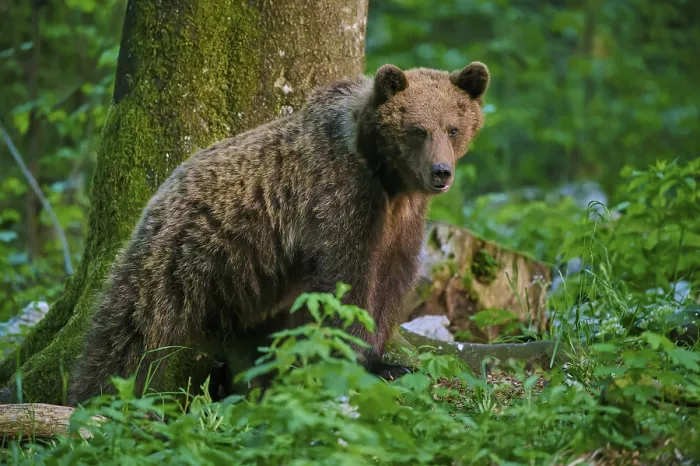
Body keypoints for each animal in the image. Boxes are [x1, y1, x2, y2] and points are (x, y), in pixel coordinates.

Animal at [68, 61, 491, 405]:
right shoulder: (340, 198)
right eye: (418, 130)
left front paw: (388, 361)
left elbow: (390, 283)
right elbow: (346, 283)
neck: (387, 179)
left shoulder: (402, 221)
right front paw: (365, 361)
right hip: (181, 253)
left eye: (453, 128)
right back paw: (97, 393)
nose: (440, 172)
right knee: (132, 328)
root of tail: (161, 189)